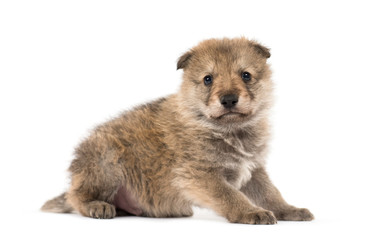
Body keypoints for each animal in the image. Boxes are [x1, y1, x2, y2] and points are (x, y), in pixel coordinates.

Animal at [41, 37, 314, 223]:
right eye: (208, 79)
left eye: (245, 75)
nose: (228, 99)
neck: (226, 129)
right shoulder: (200, 175)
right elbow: (230, 195)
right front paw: (250, 211)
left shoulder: (253, 170)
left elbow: (271, 193)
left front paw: (289, 210)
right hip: (106, 163)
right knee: (75, 195)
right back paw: (96, 206)